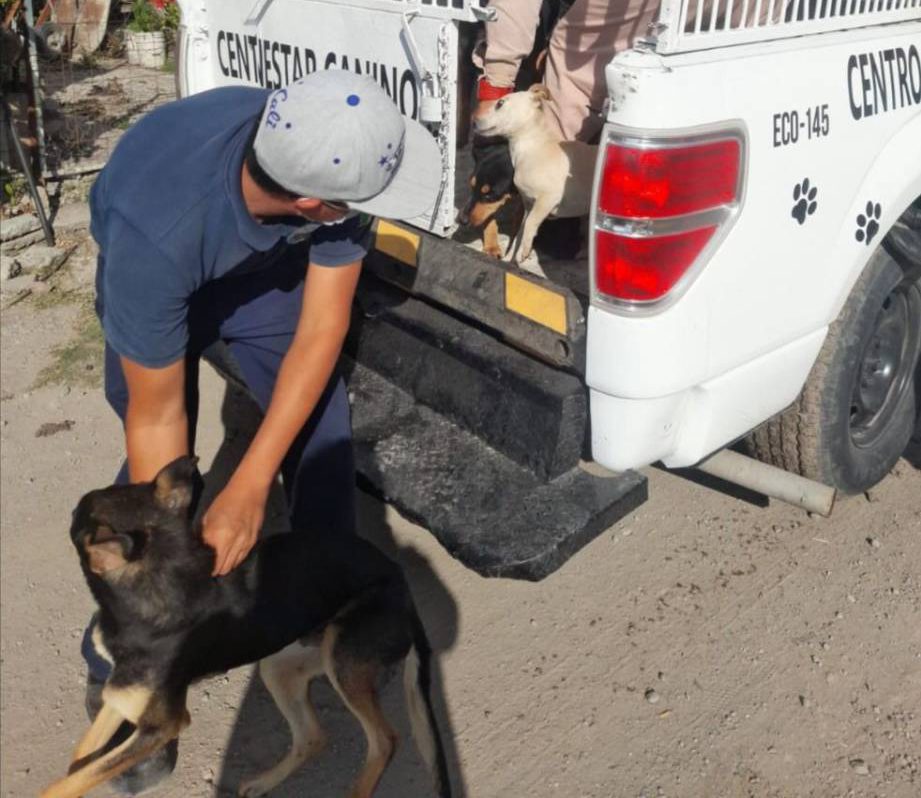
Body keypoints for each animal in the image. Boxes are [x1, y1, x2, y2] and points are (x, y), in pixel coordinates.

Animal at [44, 456, 450, 798]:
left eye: (77, 512)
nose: (71, 507)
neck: (165, 580)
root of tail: (404, 592)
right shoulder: (123, 695)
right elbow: (81, 761)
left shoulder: (164, 724)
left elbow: (72, 780)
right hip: (279, 666)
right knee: (313, 736)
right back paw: (262, 783)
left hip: (343, 657)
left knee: (384, 740)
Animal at [474, 86, 596, 264]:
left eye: (500, 103)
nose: (474, 122)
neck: (531, 148)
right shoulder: (528, 204)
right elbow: (520, 231)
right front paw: (510, 258)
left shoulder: (548, 199)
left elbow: (530, 224)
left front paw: (524, 251)